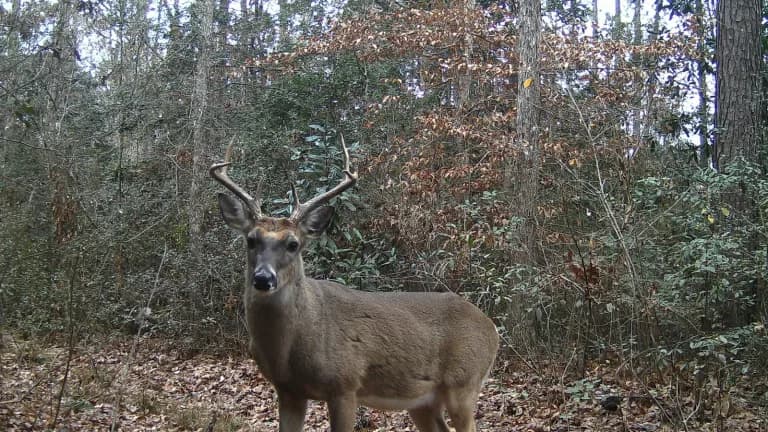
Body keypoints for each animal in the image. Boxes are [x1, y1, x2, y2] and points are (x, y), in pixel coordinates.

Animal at [210, 138, 499, 432]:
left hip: (464, 382)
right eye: (251, 239)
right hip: (421, 400)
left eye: (293, 244)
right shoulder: (288, 390)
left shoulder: (345, 384)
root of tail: (492, 327)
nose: (263, 278)